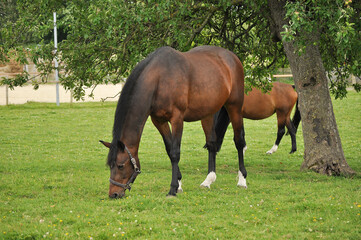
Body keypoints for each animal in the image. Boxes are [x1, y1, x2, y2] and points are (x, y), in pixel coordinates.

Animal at [101, 45, 248, 199]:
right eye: (110, 165)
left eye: (120, 165)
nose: (114, 194)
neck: (159, 79)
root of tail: (232, 56)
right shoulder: (159, 121)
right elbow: (169, 149)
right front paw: (178, 184)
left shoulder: (177, 119)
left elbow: (175, 152)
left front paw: (172, 189)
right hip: (207, 113)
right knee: (212, 143)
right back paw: (208, 180)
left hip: (234, 107)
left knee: (239, 141)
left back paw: (242, 180)